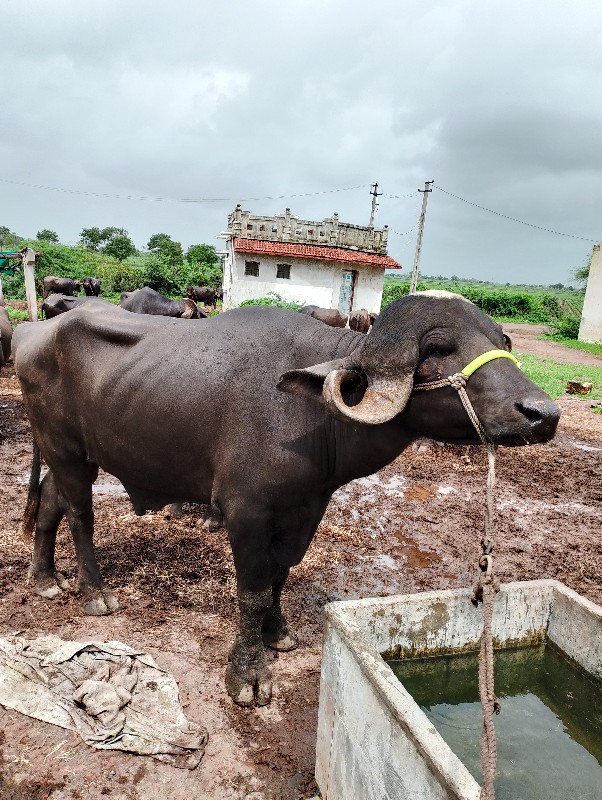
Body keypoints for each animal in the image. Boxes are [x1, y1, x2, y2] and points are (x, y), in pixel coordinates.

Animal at [14, 292, 556, 708]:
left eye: (501, 342)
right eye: (439, 348)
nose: (543, 413)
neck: (313, 416)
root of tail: (31, 332)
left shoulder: (306, 510)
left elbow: (279, 576)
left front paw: (276, 632)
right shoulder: (246, 513)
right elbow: (252, 591)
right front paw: (248, 674)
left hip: (68, 453)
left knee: (50, 503)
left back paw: (44, 578)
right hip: (67, 450)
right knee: (80, 515)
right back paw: (93, 593)